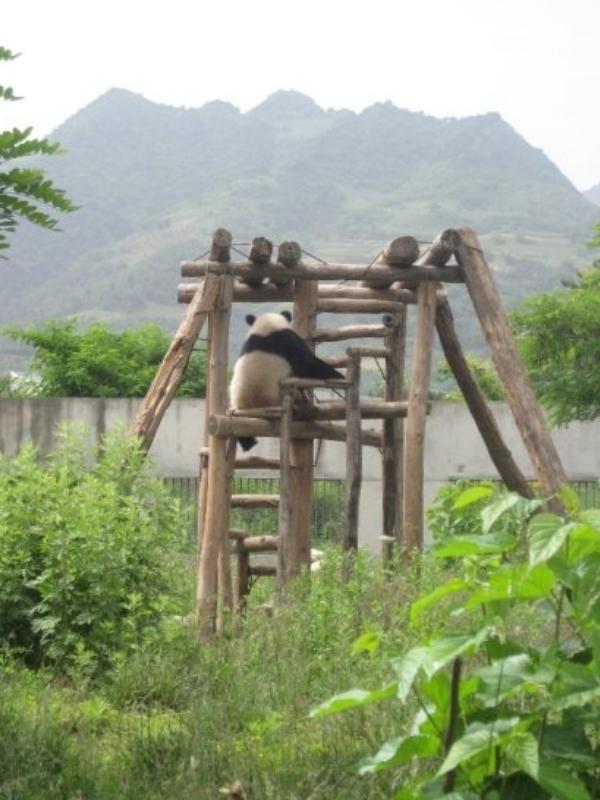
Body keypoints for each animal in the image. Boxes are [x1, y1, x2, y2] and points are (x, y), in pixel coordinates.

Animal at [229, 310, 343, 451]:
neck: (267, 328)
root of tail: (255, 410)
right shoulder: (288, 341)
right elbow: (307, 365)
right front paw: (339, 376)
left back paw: (249, 444)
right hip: (284, 398)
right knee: (298, 396)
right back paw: (308, 410)